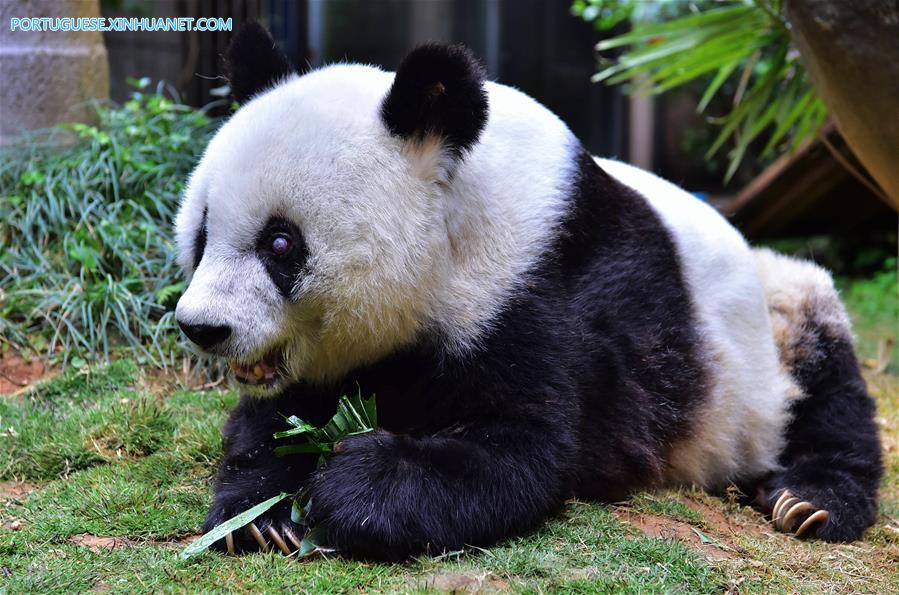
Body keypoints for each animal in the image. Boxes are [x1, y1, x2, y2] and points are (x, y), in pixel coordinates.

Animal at [173, 24, 882, 560]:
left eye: (280, 243)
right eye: (203, 233)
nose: (202, 327)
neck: (456, 216)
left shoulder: (537, 285)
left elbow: (527, 450)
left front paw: (352, 483)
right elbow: (276, 417)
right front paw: (260, 515)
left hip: (771, 328)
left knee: (825, 381)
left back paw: (809, 500)